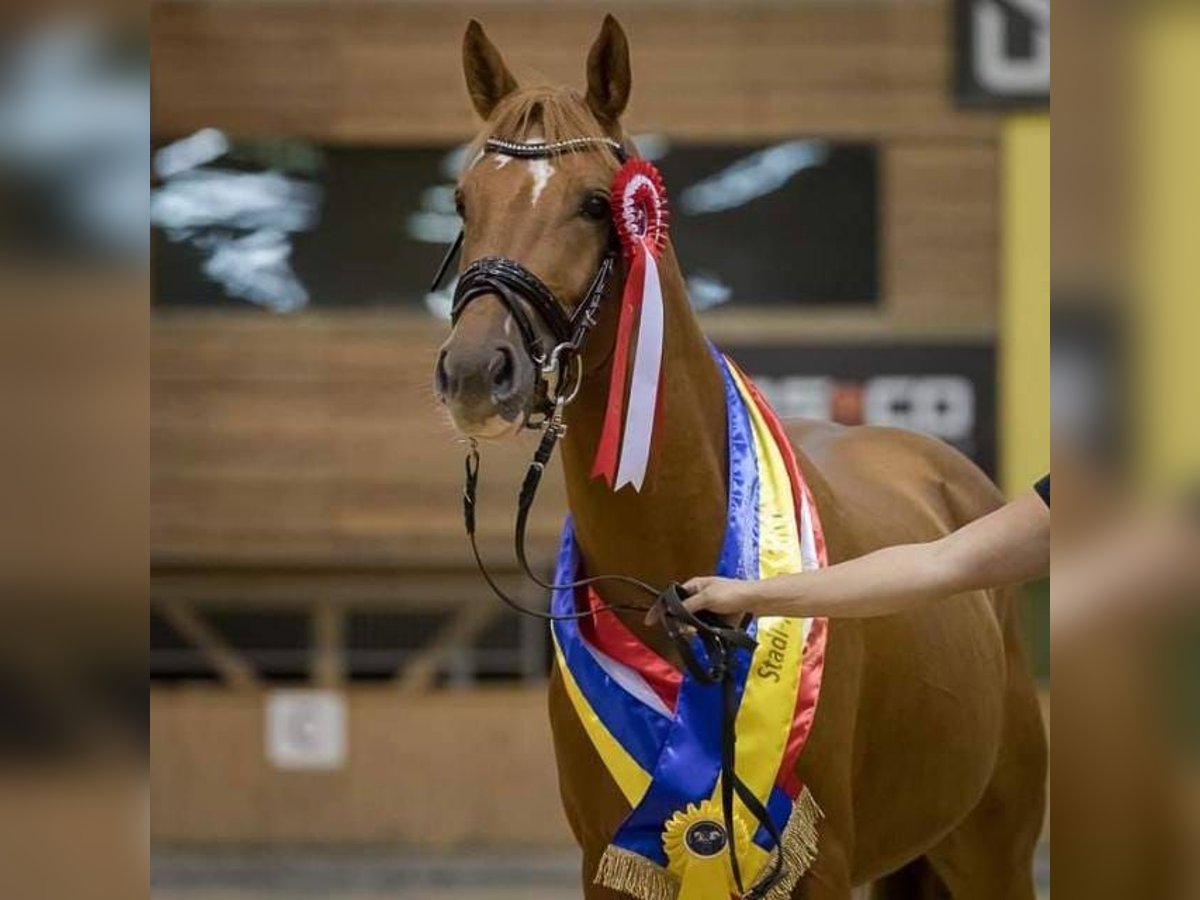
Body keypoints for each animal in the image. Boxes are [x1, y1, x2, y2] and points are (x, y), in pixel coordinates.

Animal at [433, 16, 1046, 899]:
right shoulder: (606, 867)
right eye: (462, 200)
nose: (477, 373)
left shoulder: (821, 866)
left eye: (595, 203)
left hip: (992, 850)